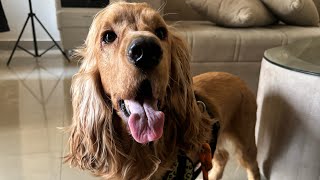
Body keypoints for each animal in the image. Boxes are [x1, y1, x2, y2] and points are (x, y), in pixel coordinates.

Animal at [65, 1, 260, 180]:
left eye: (160, 32)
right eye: (108, 36)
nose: (146, 50)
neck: (140, 149)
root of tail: (238, 78)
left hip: (245, 142)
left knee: (252, 166)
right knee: (221, 156)